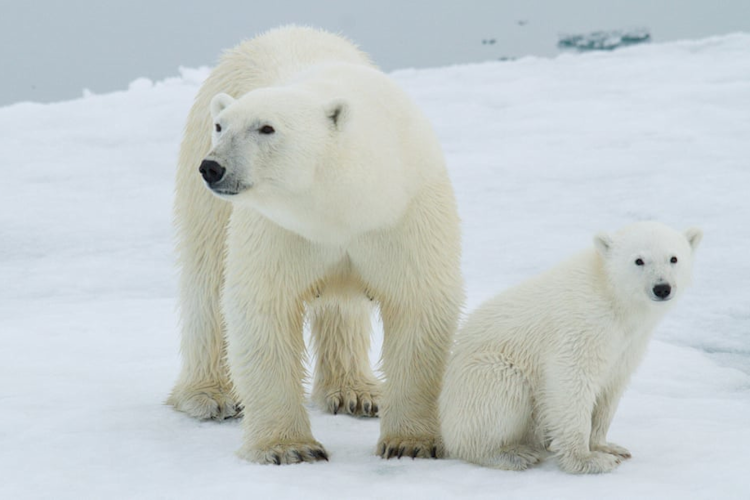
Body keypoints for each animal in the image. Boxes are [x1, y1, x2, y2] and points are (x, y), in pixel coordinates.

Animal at [167, 26, 464, 465]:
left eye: (267, 128)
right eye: (221, 126)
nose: (213, 167)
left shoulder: (404, 211)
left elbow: (418, 303)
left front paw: (410, 442)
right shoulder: (278, 227)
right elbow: (263, 306)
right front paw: (288, 447)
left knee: (343, 310)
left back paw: (357, 392)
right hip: (203, 186)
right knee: (206, 278)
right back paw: (211, 396)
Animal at [439, 221, 702, 474]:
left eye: (673, 258)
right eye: (639, 260)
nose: (662, 288)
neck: (613, 298)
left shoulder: (630, 343)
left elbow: (611, 388)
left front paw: (609, 447)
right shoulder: (582, 326)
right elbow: (571, 381)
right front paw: (588, 460)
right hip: (482, 374)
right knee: (501, 389)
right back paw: (511, 454)